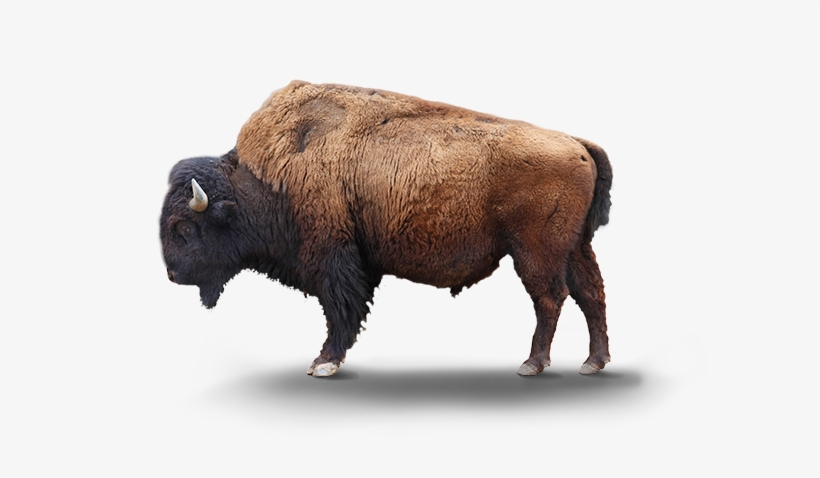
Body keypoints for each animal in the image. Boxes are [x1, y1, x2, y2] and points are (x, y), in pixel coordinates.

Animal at [160, 81, 613, 377]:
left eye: (185, 228)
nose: (172, 275)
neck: (263, 179)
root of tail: (577, 144)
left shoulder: (333, 257)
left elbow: (340, 308)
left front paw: (324, 362)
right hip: (575, 247)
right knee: (590, 294)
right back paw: (593, 362)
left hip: (535, 250)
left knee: (550, 298)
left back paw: (532, 364)